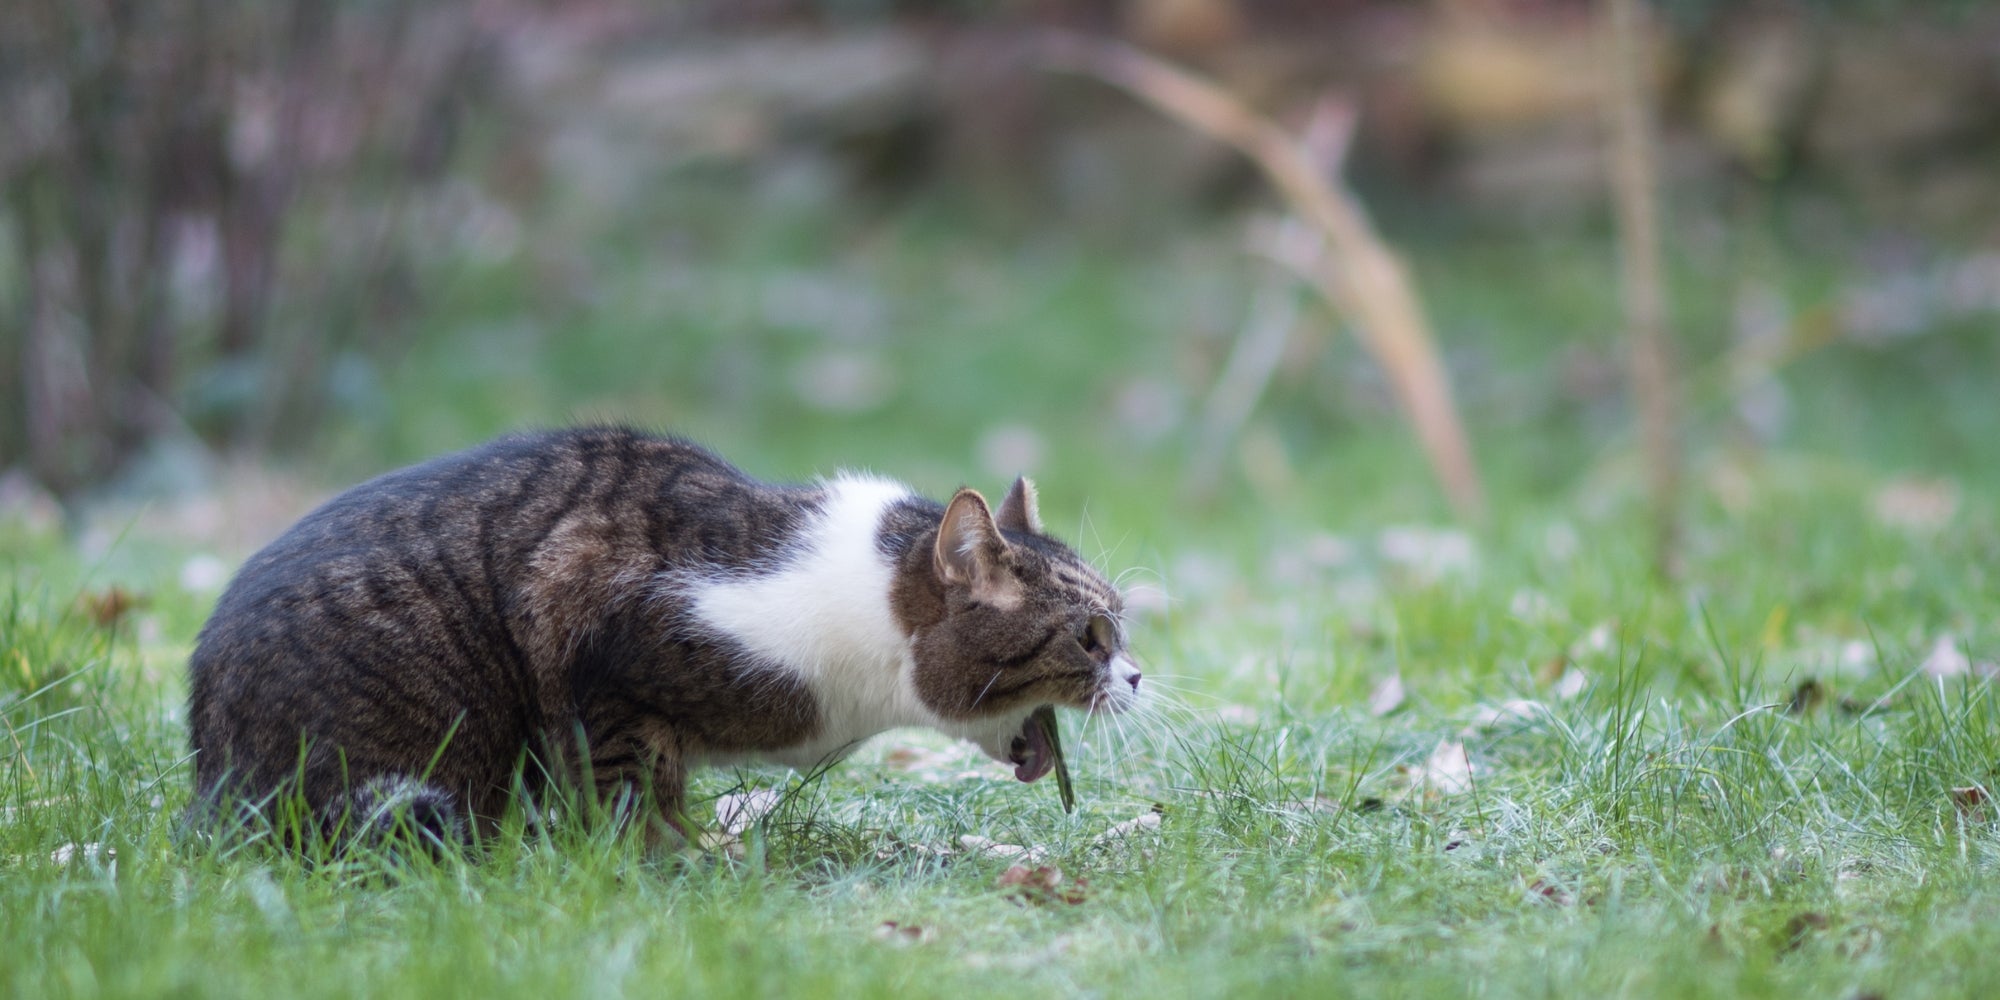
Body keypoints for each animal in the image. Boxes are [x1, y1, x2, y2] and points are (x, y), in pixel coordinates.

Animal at [188, 426, 1144, 848]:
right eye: (1092, 636)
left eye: (1121, 626)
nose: (1137, 676)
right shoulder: (600, 646)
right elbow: (633, 790)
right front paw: (674, 865)